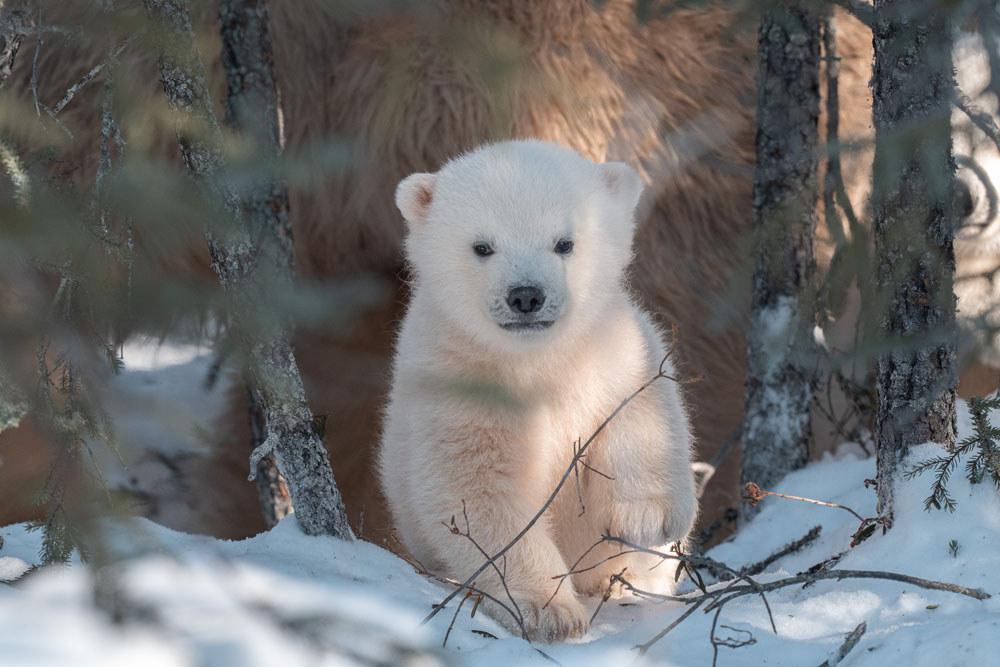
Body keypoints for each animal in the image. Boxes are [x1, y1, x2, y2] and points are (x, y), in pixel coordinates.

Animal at [378, 142, 700, 640]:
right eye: (482, 246)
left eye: (564, 242)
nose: (526, 296)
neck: (537, 359)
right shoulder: (460, 381)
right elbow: (479, 494)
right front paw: (550, 612)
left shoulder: (611, 347)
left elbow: (643, 407)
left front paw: (647, 517)